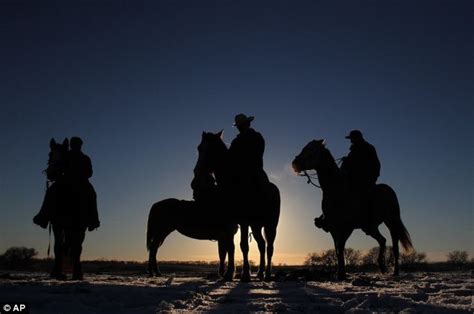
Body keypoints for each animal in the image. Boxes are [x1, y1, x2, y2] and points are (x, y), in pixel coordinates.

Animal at [193, 131, 282, 280]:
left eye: (211, 149)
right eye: (199, 148)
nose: (196, 175)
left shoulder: (244, 222)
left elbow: (243, 245)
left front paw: (245, 274)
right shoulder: (229, 223)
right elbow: (230, 246)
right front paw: (229, 273)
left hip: (271, 225)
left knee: (269, 247)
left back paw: (268, 273)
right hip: (256, 226)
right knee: (261, 245)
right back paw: (260, 272)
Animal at [292, 140, 412, 280]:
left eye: (312, 150)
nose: (295, 163)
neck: (337, 189)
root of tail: (389, 190)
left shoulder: (347, 228)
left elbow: (341, 247)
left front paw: (342, 274)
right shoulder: (333, 228)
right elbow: (338, 250)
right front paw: (340, 273)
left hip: (391, 221)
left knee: (395, 244)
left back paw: (395, 271)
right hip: (370, 228)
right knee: (382, 240)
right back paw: (382, 266)